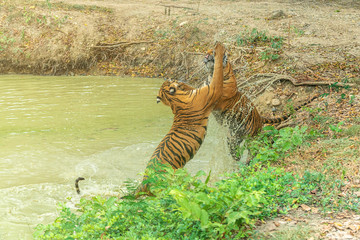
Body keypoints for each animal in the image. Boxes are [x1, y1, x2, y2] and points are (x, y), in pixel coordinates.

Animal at [133, 42, 225, 197]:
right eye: (170, 80)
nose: (171, 76)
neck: (174, 101)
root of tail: (145, 181)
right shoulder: (211, 92)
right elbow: (217, 73)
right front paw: (219, 50)